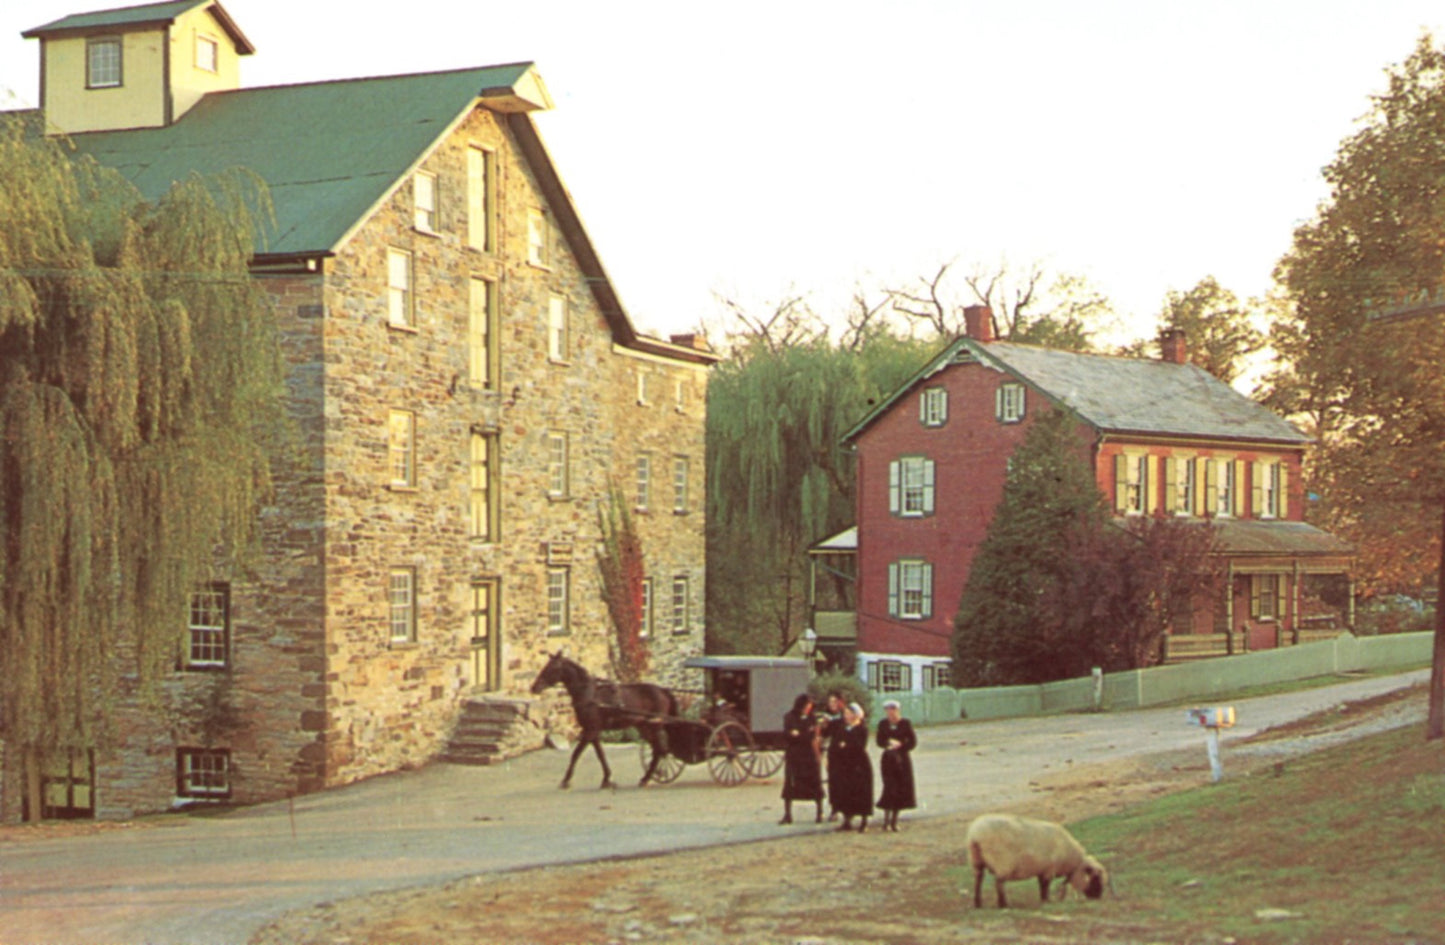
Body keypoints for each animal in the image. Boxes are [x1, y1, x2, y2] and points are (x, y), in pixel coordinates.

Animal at [531, 653, 676, 791]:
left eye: (552, 667)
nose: (534, 687)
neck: (589, 695)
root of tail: (663, 690)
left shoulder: (590, 730)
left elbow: (576, 754)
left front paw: (566, 781)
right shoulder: (593, 731)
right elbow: (600, 755)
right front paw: (607, 779)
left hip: (654, 726)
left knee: (659, 750)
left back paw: (647, 778)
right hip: (644, 726)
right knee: (658, 749)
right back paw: (648, 777)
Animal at [965, 814, 1109, 913]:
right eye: (1095, 879)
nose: (1097, 898)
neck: (1072, 862)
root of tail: (975, 836)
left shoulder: (1043, 870)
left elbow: (1041, 885)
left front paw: (1044, 900)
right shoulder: (1049, 870)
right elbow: (1045, 886)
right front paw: (1046, 901)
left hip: (976, 860)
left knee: (978, 880)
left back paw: (978, 904)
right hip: (1002, 862)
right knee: (999, 883)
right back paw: (1003, 904)